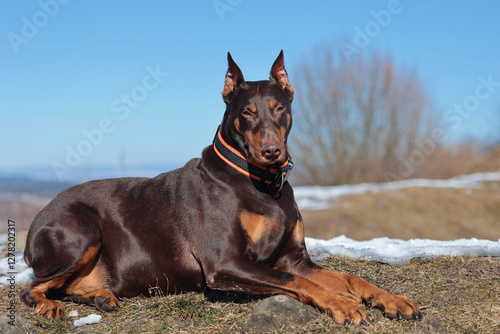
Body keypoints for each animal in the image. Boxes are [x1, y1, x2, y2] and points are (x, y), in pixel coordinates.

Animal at [19, 51, 420, 324]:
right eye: (246, 112)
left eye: (278, 107)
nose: (272, 151)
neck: (265, 185)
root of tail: (35, 223)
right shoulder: (226, 263)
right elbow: (297, 281)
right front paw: (342, 304)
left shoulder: (296, 258)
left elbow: (348, 277)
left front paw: (391, 299)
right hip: (82, 231)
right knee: (32, 288)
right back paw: (49, 304)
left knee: (67, 287)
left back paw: (100, 297)